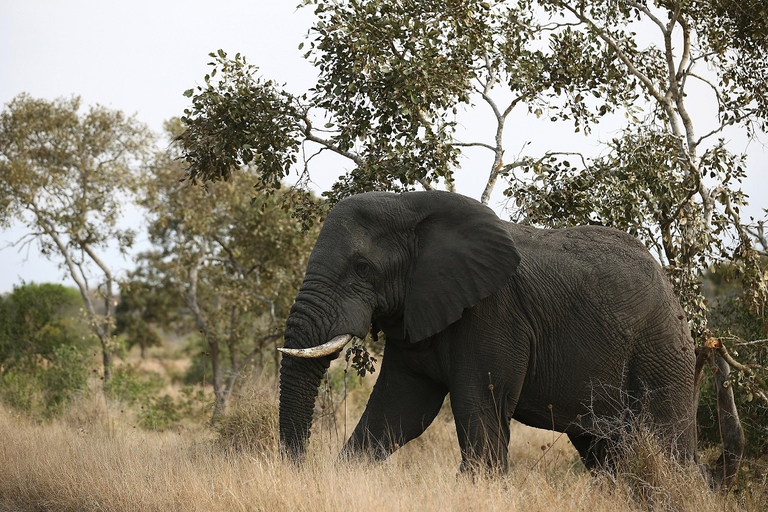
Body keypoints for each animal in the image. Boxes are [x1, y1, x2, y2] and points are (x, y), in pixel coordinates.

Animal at [278, 190, 742, 478]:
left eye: (362, 268)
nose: (298, 468)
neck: (409, 205)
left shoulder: (495, 315)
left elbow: (477, 406)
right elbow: (399, 409)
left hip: (660, 349)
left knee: (666, 445)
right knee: (605, 450)